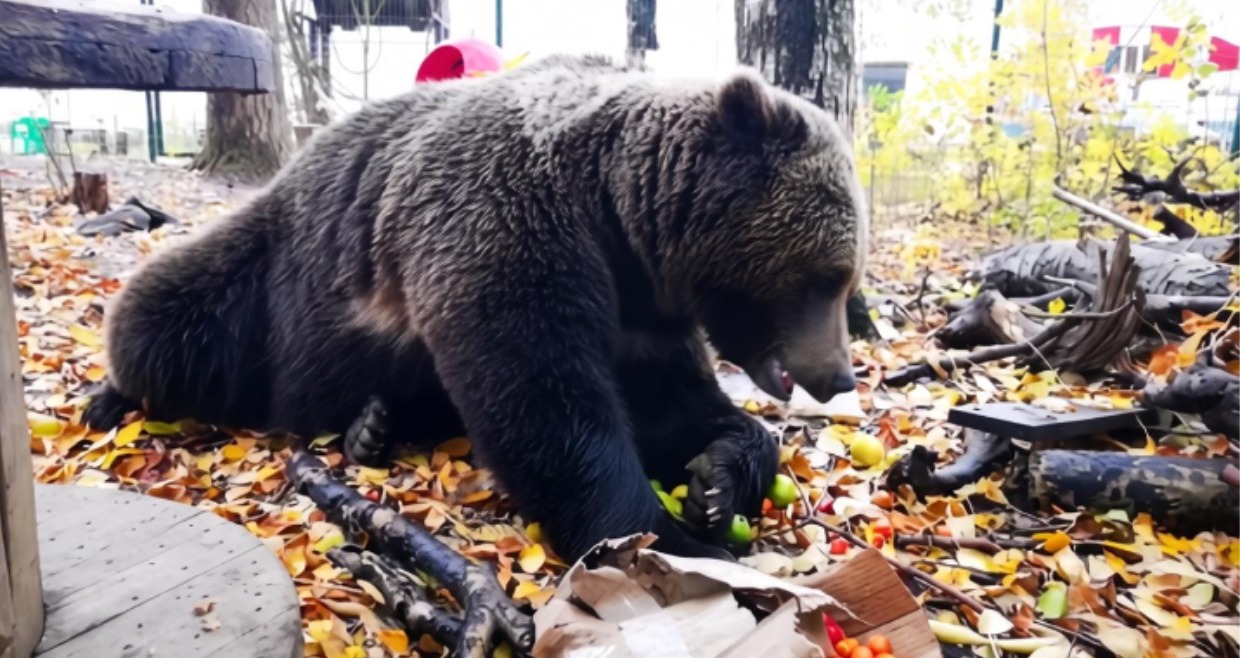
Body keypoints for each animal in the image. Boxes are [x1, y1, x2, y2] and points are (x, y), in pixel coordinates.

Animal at [83, 54, 867, 563]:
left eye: (846, 278)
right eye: (826, 276)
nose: (839, 376)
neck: (619, 222)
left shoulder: (637, 316)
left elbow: (672, 403)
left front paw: (718, 477)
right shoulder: (505, 226)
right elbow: (544, 403)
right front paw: (669, 540)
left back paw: (373, 426)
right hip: (270, 274)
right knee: (163, 317)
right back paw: (113, 394)